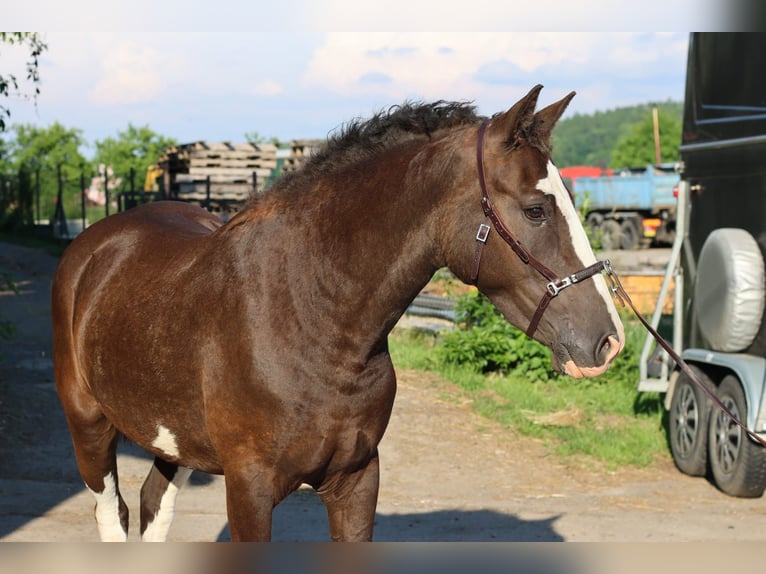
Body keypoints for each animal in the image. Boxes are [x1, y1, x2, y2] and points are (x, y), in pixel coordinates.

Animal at [52, 83, 624, 544]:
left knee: (153, 504)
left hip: (173, 440)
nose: (608, 340)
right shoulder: (249, 490)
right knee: (112, 512)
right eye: (536, 209)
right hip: (89, 428)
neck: (313, 319)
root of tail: (96, 242)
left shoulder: (356, 480)